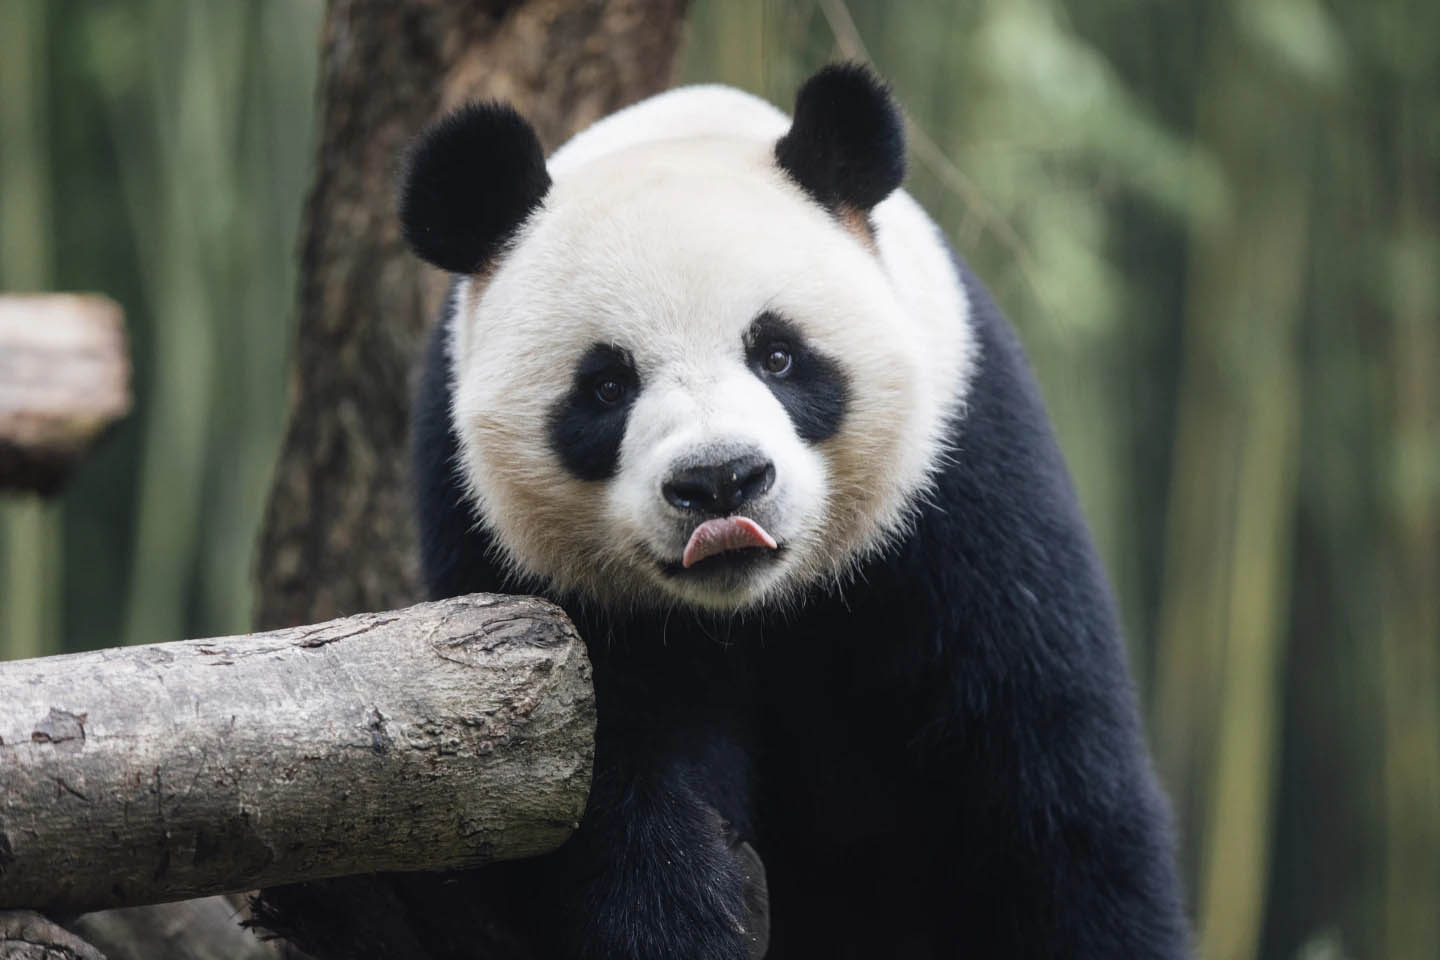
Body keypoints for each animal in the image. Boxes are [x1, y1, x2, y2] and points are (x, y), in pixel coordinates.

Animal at [400, 65, 1186, 960]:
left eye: (777, 354)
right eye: (605, 386)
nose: (720, 482)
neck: (755, 606)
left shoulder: (967, 489)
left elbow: (1047, 787)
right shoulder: (511, 559)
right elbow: (607, 777)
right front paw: (682, 917)